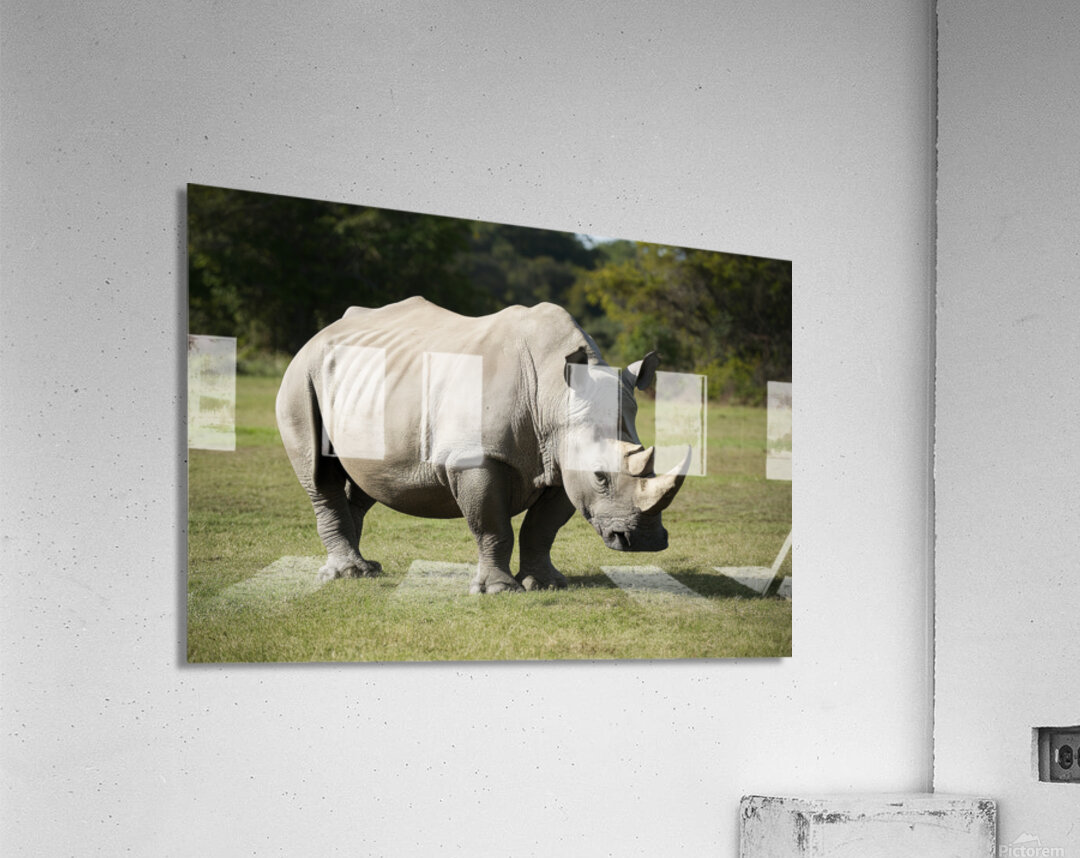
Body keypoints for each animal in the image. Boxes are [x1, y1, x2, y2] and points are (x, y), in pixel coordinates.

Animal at [276, 296, 689, 594]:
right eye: (601, 477)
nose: (644, 541)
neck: (555, 398)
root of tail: (320, 334)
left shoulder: (561, 461)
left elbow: (542, 527)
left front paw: (546, 584)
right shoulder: (476, 458)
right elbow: (492, 526)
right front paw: (498, 591)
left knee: (365, 478)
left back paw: (365, 570)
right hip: (300, 377)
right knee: (319, 475)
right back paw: (347, 574)